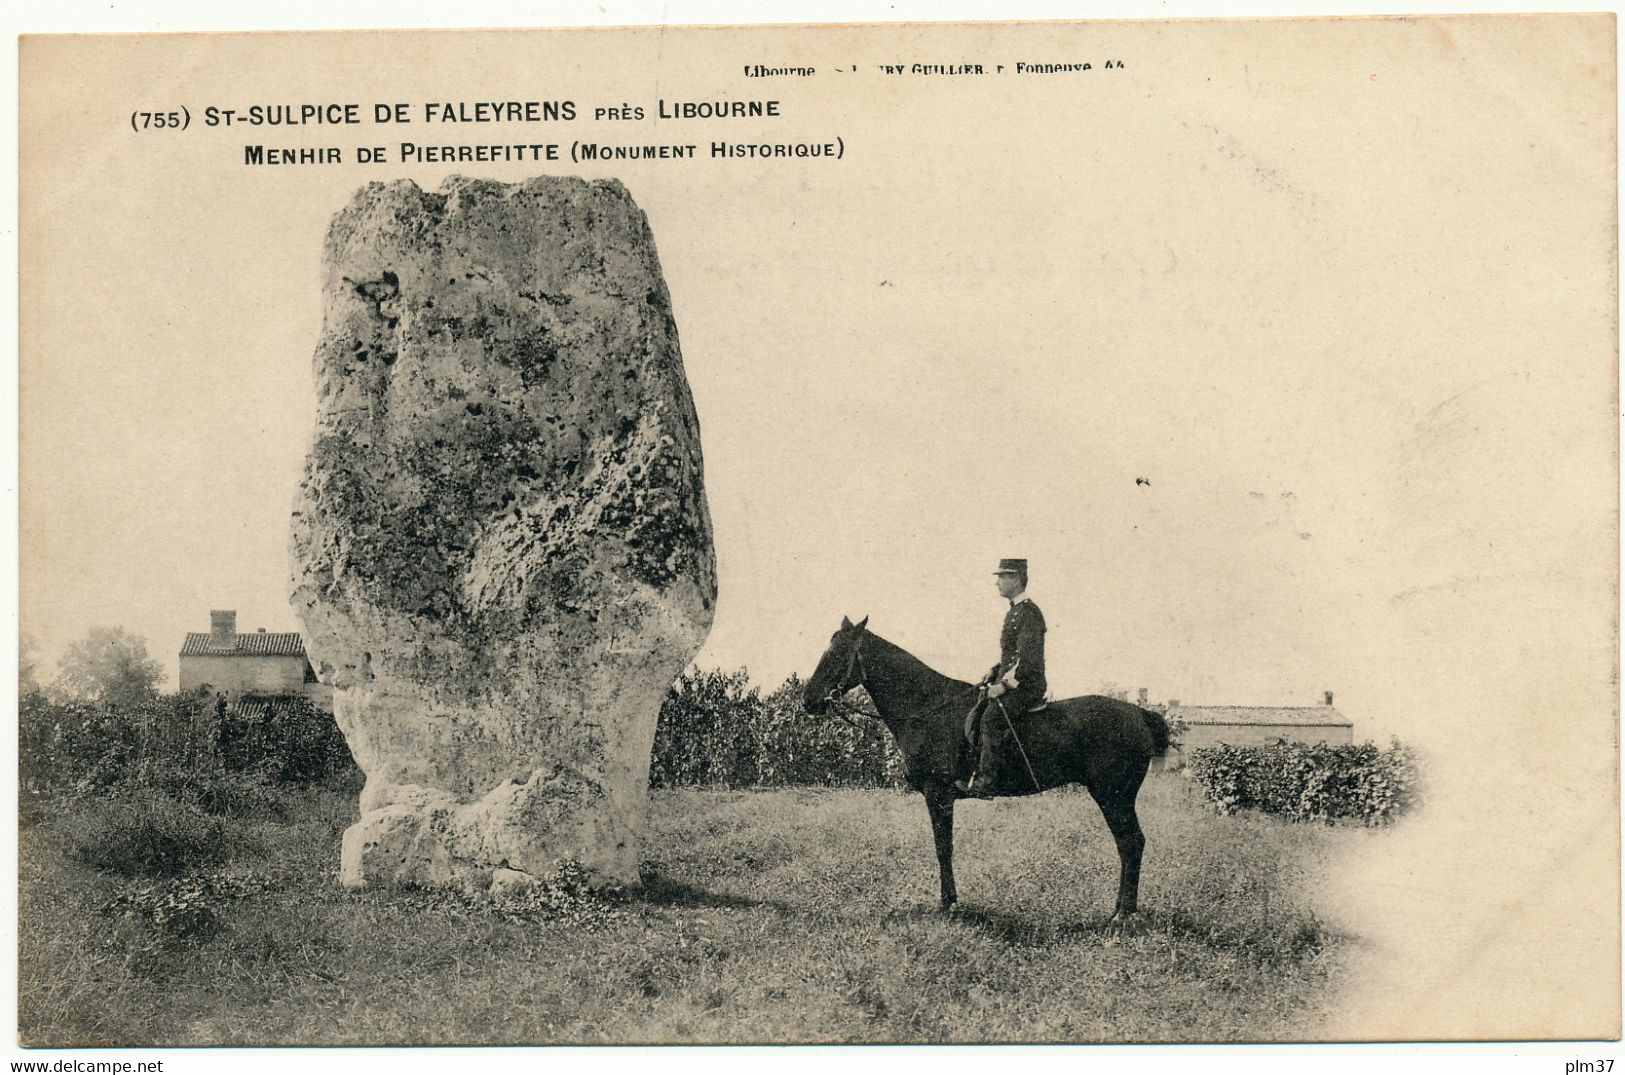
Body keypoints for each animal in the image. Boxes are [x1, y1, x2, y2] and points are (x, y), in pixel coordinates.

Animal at [799, 620, 1170, 922]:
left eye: (837, 652)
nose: (808, 700)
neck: (929, 708)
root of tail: (1140, 714)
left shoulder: (938, 793)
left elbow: (943, 848)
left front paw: (948, 905)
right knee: (1129, 844)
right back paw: (1121, 910)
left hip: (1113, 795)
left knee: (1131, 843)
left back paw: (1122, 915)